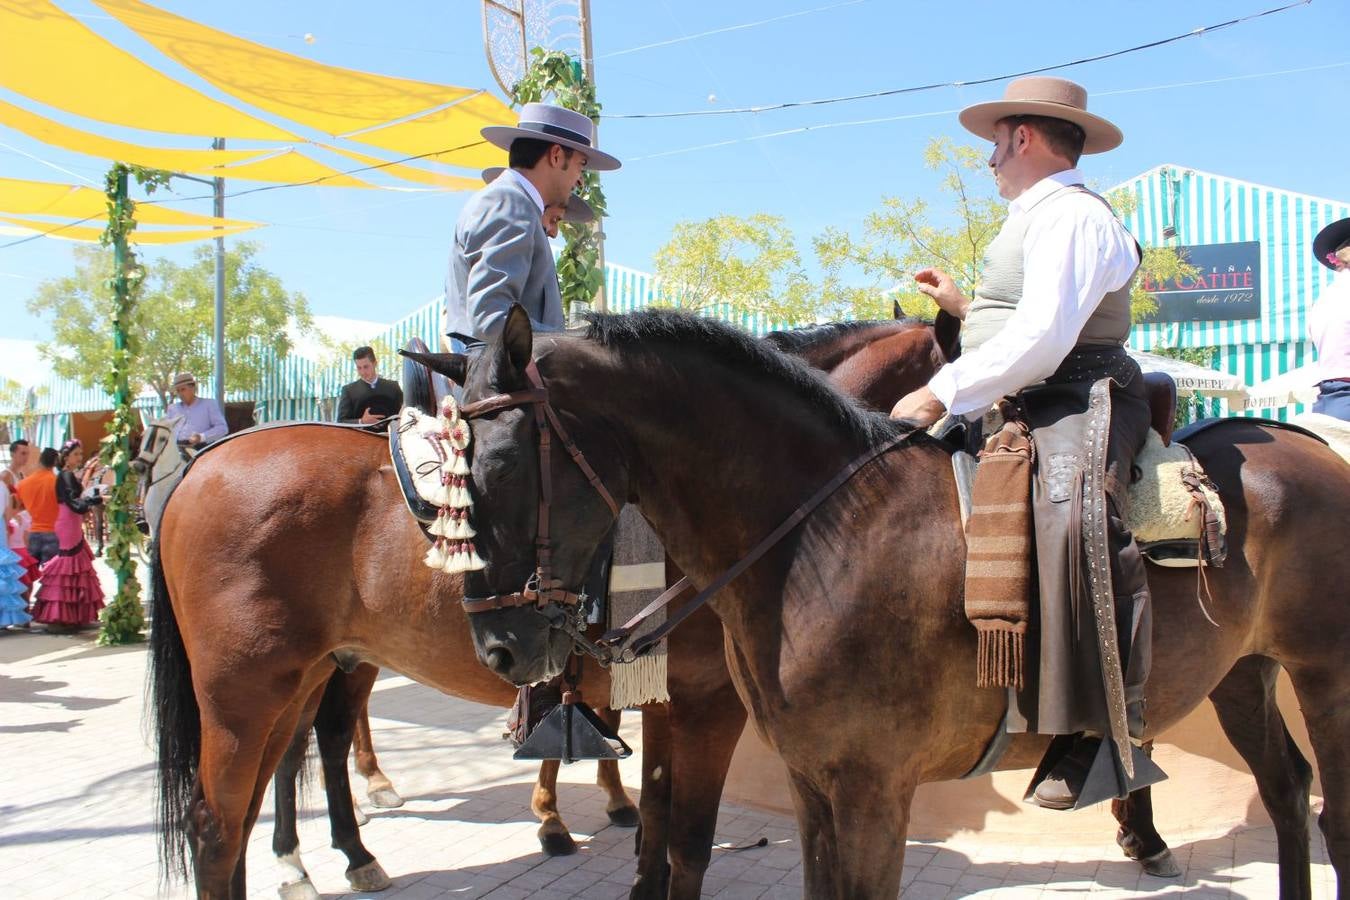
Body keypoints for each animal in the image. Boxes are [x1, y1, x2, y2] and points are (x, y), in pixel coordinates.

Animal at [445, 305, 1350, 900]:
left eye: (501, 465)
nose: (499, 648)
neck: (824, 533)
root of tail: (1311, 450)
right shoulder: (811, 784)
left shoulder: (871, 791)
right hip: (1244, 673)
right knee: (1285, 790)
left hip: (1321, 674)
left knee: (1329, 813)